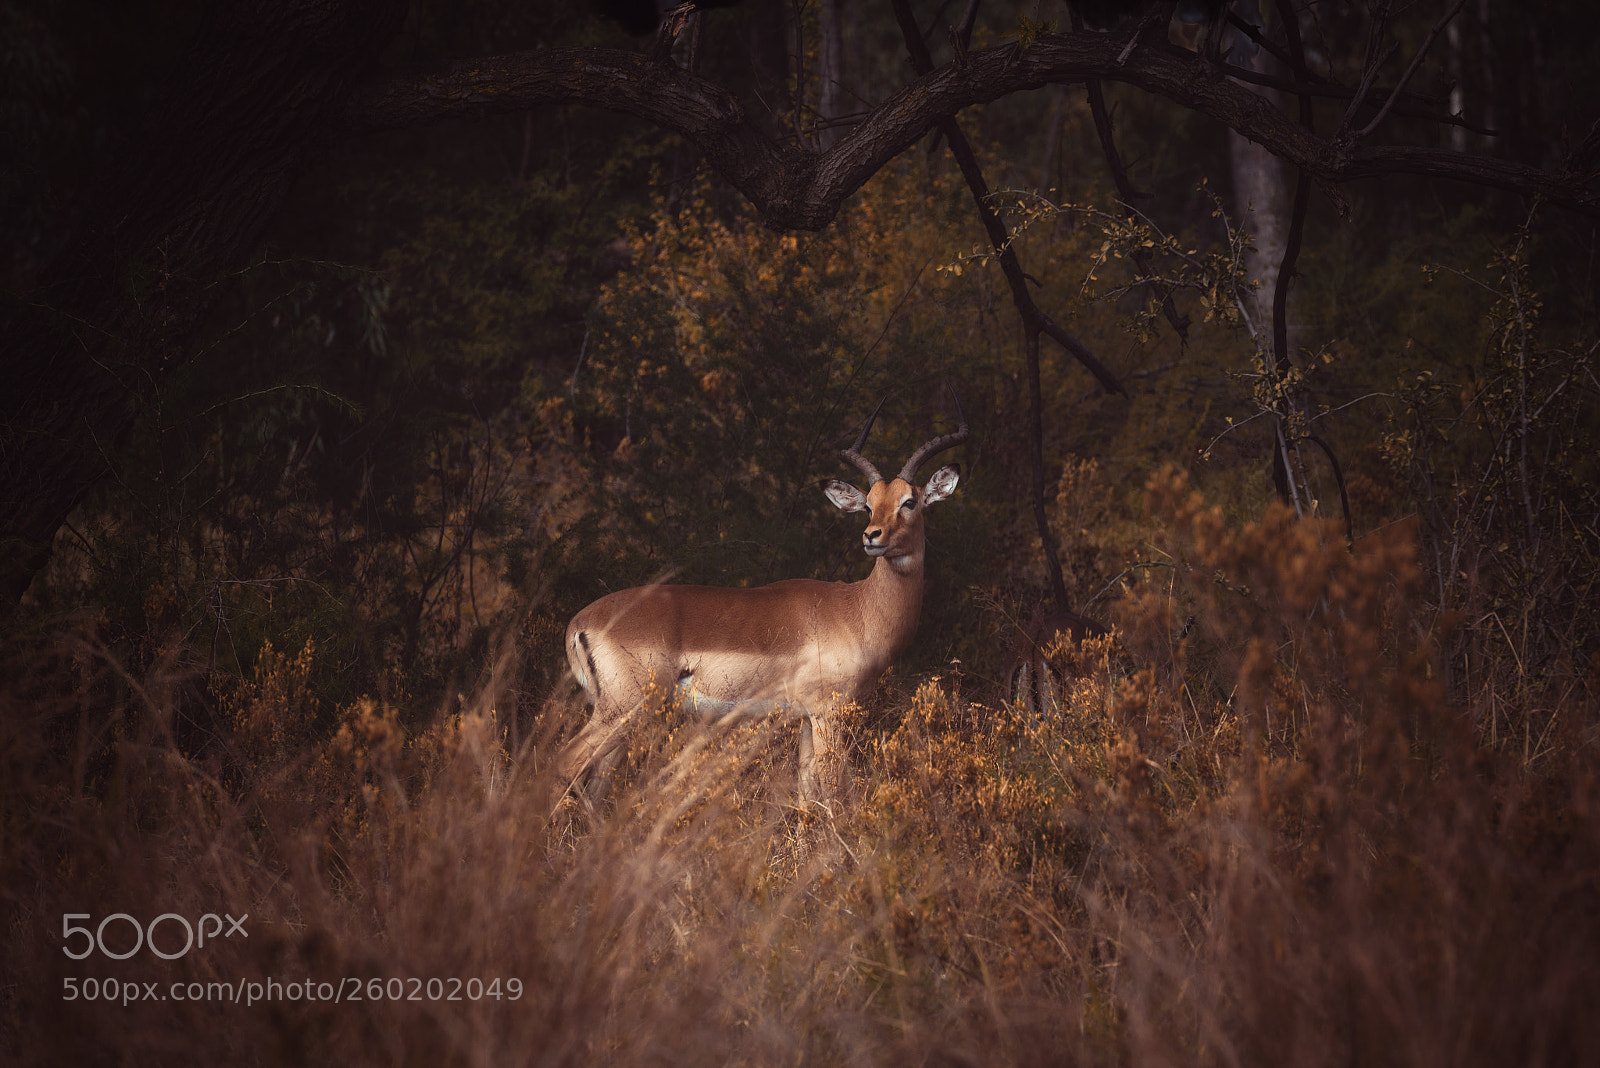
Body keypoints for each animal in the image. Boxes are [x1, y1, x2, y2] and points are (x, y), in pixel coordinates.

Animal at [554, 391, 968, 811]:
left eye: (910, 501)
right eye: (869, 504)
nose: (872, 536)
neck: (857, 609)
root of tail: (579, 623)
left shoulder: (806, 718)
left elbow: (807, 796)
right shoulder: (828, 713)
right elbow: (835, 794)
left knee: (595, 784)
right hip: (624, 710)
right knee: (565, 765)